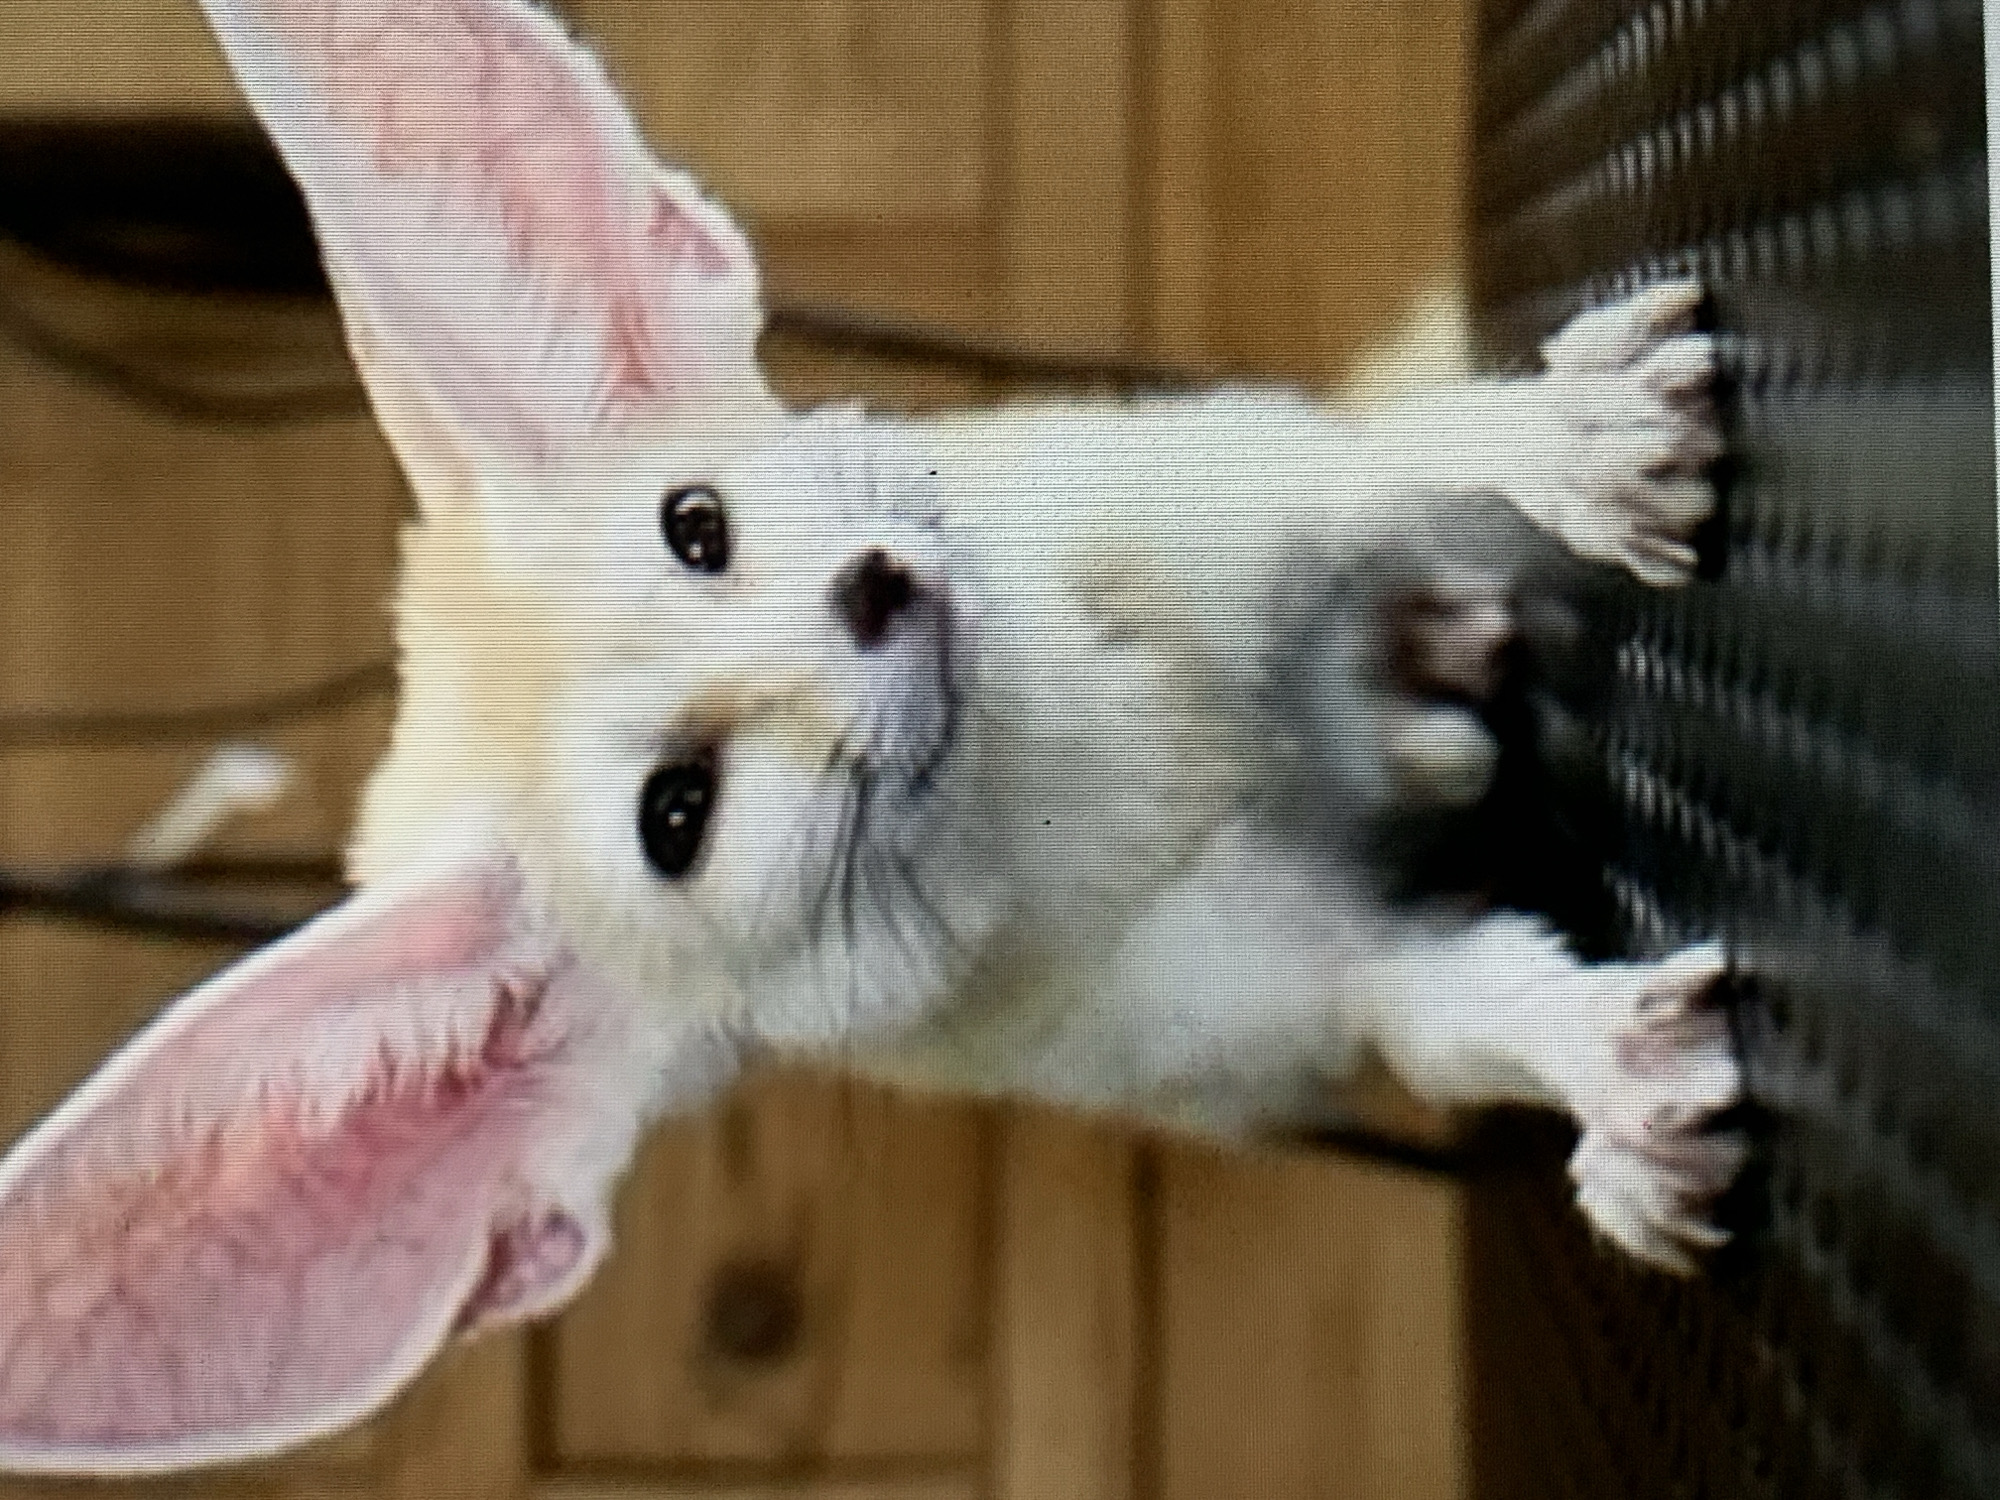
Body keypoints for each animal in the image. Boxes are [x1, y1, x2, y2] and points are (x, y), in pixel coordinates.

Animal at [0, 0, 1742, 1475]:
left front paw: (1572, 439)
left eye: (696, 523)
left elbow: (1397, 450)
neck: (1092, 771)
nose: (876, 592)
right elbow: (1459, 1009)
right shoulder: (1289, 995)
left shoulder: (1230, 482)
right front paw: (1617, 1076)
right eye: (677, 814)